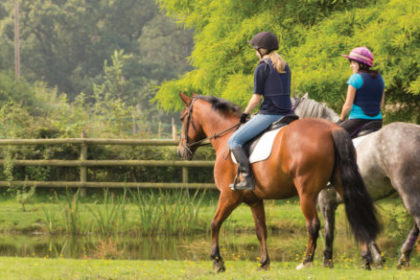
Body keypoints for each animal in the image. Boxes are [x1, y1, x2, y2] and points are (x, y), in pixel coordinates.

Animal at [177, 93, 380, 272]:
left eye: (182, 118)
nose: (180, 151)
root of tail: (332, 129)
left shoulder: (229, 196)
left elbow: (214, 224)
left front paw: (217, 262)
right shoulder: (254, 200)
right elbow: (261, 230)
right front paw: (264, 263)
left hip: (306, 193)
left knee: (313, 225)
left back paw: (306, 261)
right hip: (341, 185)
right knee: (356, 213)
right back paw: (366, 260)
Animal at [294, 94, 420, 270]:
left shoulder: (326, 201)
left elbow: (329, 233)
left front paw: (327, 262)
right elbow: (365, 229)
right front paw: (374, 260)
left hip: (408, 190)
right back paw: (403, 257)